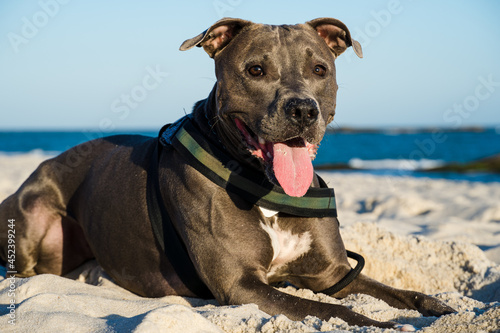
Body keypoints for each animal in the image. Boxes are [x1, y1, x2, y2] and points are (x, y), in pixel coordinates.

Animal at [0, 18, 456, 330]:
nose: (303, 109)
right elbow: (329, 309)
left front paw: (436, 307)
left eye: (320, 70)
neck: (269, 189)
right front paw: (383, 324)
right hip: (32, 217)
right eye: (255, 70)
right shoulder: (242, 285)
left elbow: (394, 291)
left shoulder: (332, 274)